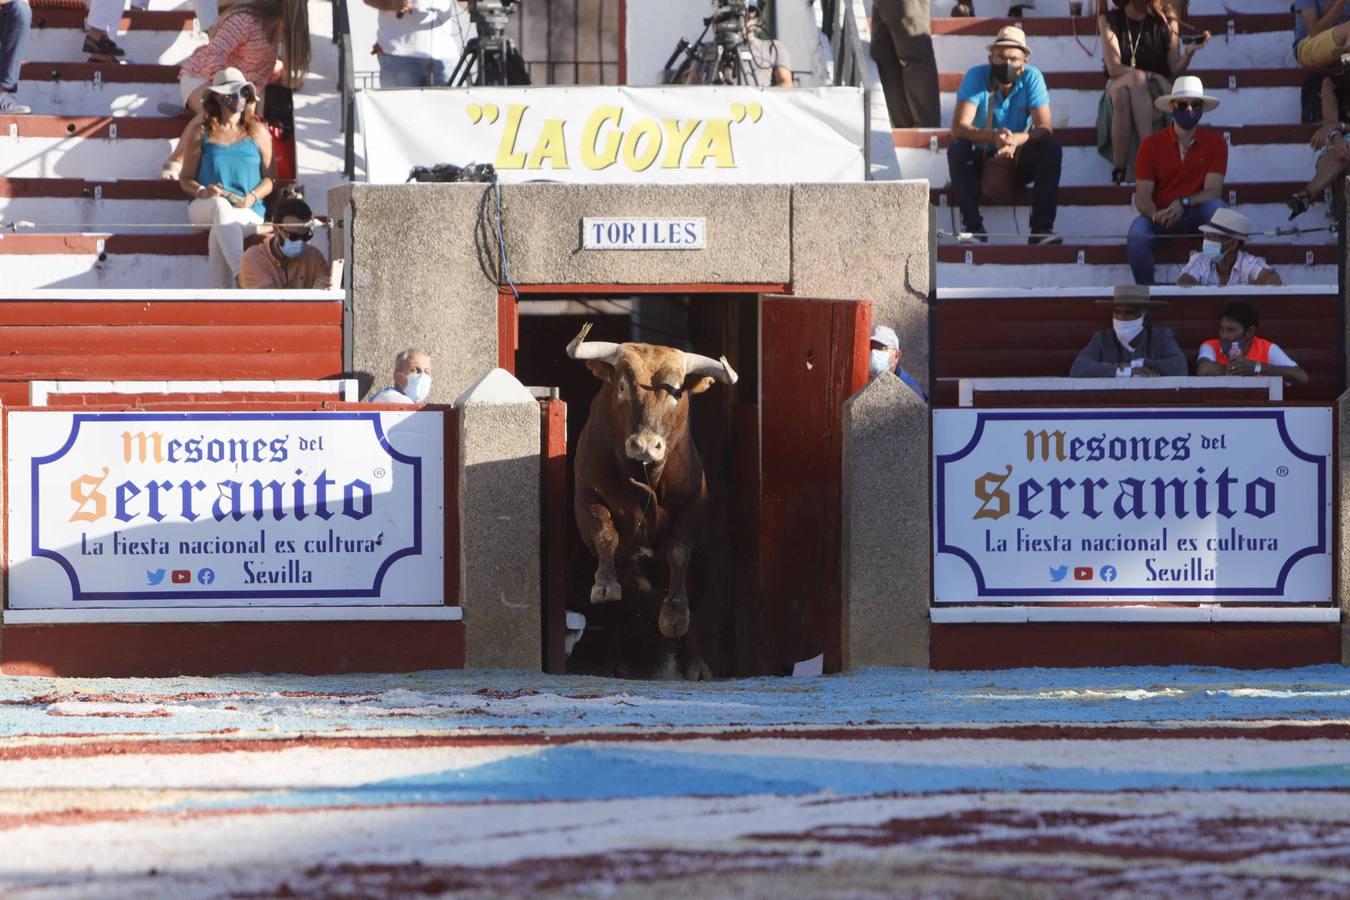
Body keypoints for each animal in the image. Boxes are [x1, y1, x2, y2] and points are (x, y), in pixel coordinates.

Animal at [569, 319, 739, 680]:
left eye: (676, 391)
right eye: (621, 386)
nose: (645, 445)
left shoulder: (691, 506)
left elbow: (678, 553)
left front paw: (673, 615)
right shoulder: (587, 497)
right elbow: (607, 538)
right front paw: (605, 586)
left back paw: (696, 665)